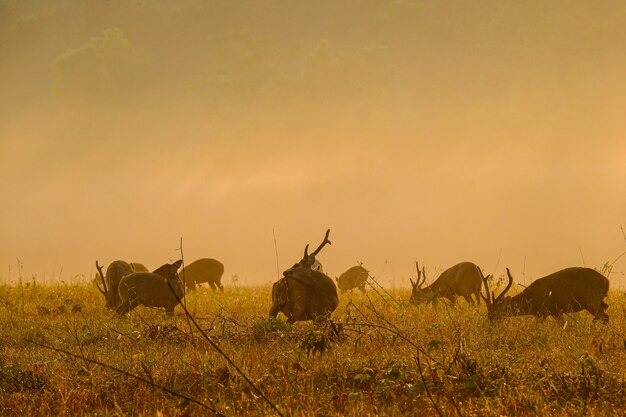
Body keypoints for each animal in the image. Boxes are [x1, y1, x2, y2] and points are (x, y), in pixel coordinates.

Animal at [476, 266, 608, 322]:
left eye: (495, 314)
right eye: (488, 314)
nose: (490, 326)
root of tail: (606, 281)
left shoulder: (543, 312)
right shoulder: (555, 312)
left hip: (591, 301)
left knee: (604, 317)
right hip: (598, 301)